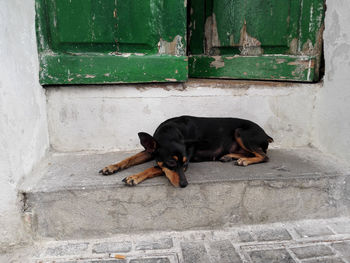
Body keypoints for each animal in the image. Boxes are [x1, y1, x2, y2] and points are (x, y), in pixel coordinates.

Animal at [98, 115, 274, 188]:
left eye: (186, 165)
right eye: (171, 162)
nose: (184, 185)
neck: (170, 131)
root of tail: (266, 134)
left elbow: (154, 167)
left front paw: (134, 177)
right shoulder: (150, 151)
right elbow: (130, 159)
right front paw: (111, 167)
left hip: (241, 132)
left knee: (264, 156)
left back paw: (244, 161)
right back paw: (230, 156)